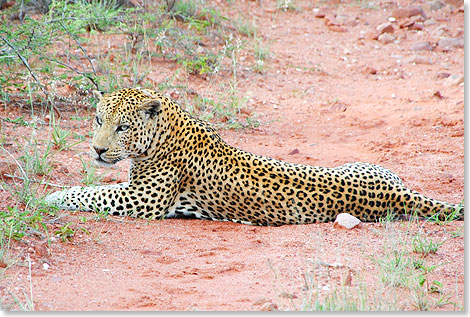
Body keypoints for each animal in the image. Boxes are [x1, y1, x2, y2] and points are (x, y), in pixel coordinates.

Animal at [44, 87, 462, 225]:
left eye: (122, 128)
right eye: (98, 120)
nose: (97, 149)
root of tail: (397, 192)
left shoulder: (143, 200)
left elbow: (91, 193)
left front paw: (51, 196)